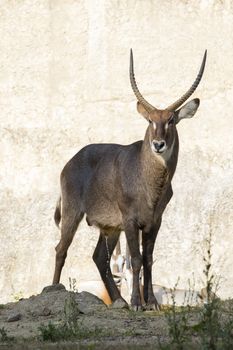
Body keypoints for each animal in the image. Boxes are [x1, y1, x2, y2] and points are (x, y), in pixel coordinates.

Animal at [52, 48, 206, 308]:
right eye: (150, 120)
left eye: (171, 120)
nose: (158, 144)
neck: (150, 182)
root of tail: (71, 161)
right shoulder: (131, 221)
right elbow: (135, 259)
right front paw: (137, 302)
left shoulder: (154, 221)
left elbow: (149, 259)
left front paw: (150, 302)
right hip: (73, 214)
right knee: (61, 249)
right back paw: (53, 289)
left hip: (110, 227)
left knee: (99, 257)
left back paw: (118, 300)